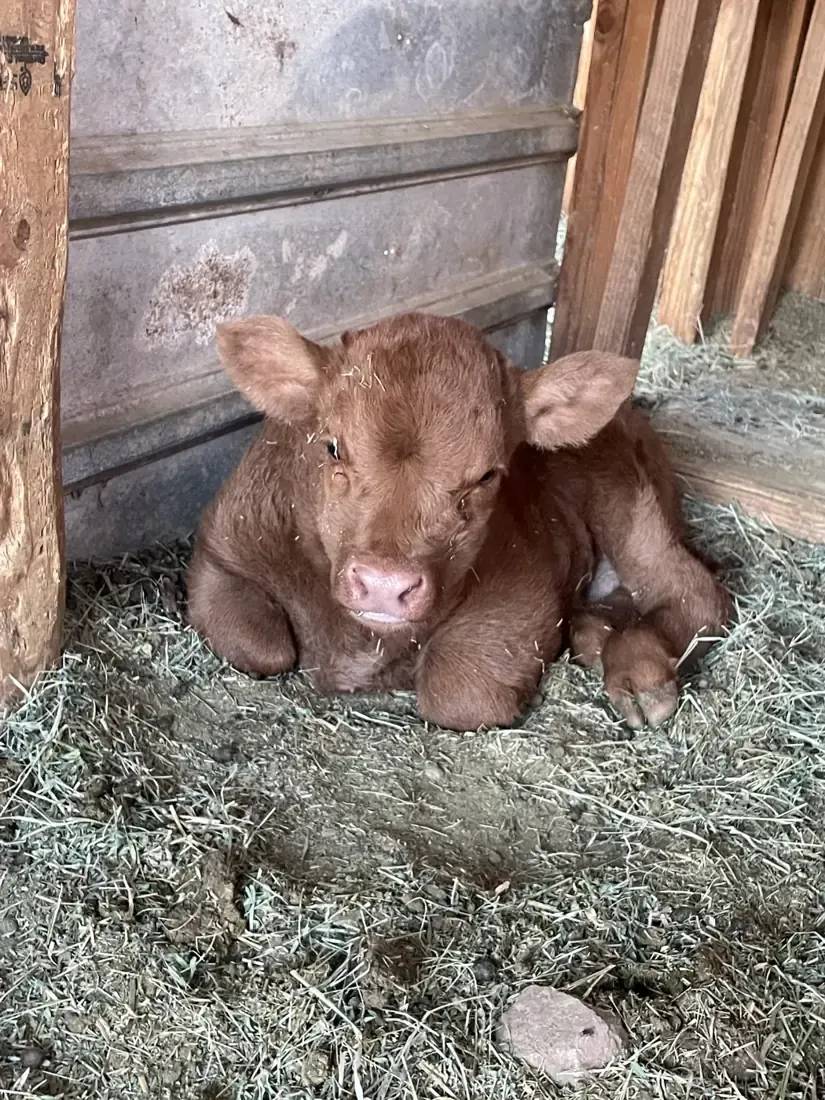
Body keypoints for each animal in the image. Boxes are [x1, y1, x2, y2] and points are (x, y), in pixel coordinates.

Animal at [186, 311, 732, 732]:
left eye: (488, 474)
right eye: (332, 447)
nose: (384, 584)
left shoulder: (526, 589)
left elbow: (457, 692)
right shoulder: (220, 552)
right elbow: (260, 646)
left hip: (628, 499)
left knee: (691, 590)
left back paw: (640, 675)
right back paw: (593, 635)